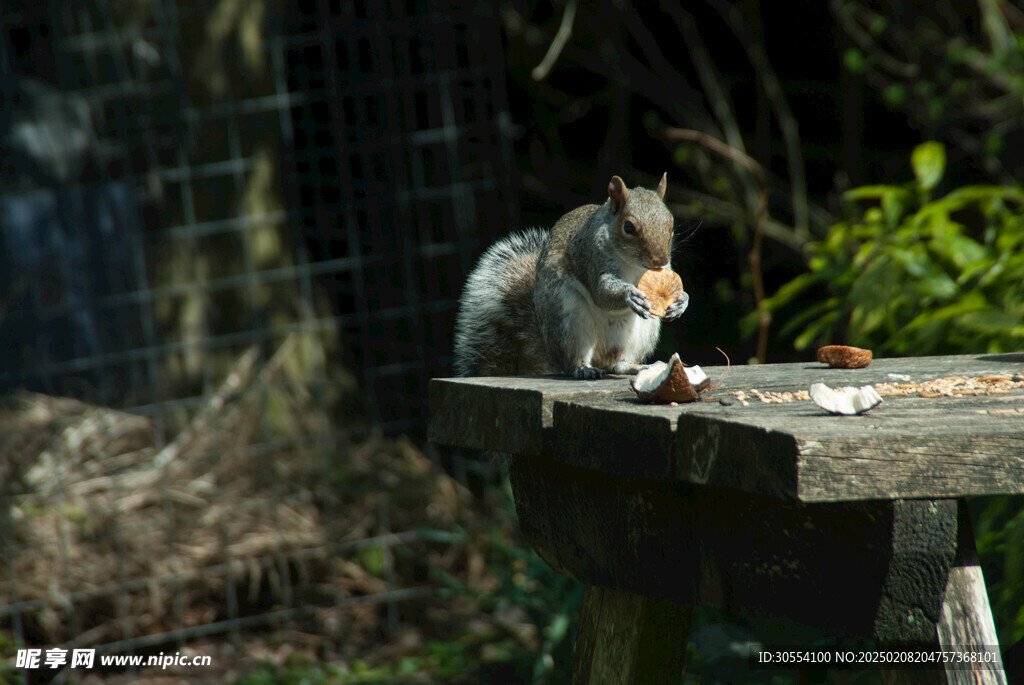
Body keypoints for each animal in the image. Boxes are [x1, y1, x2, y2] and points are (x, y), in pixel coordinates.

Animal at [454, 175, 688, 378]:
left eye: (671, 225)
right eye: (628, 227)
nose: (660, 260)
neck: (631, 263)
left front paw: (682, 301)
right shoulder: (590, 257)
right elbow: (601, 292)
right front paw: (629, 294)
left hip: (642, 332)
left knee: (616, 364)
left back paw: (636, 367)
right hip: (568, 318)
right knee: (572, 360)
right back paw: (583, 369)